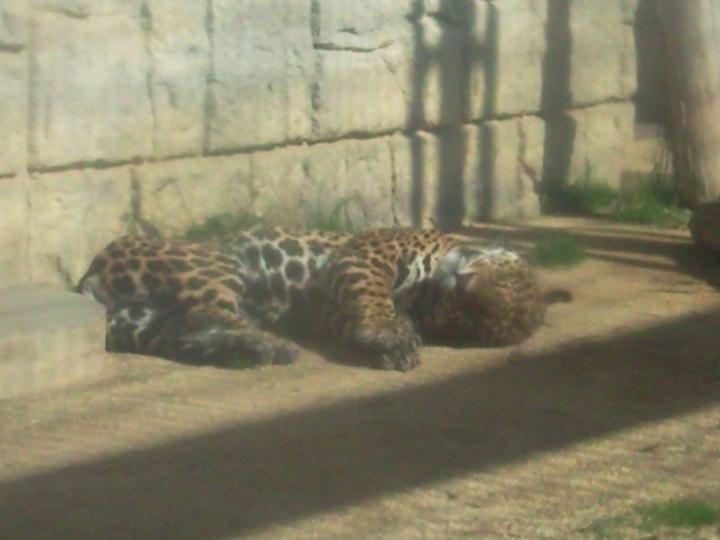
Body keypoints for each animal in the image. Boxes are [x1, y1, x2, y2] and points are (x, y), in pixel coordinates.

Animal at [76, 225, 571, 371]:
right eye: (504, 281)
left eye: (474, 317)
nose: (463, 282)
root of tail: (90, 273)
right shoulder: (366, 255)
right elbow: (374, 300)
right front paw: (390, 337)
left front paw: (394, 344)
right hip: (216, 264)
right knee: (209, 313)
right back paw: (270, 345)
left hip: (144, 323)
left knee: (190, 330)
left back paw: (253, 348)